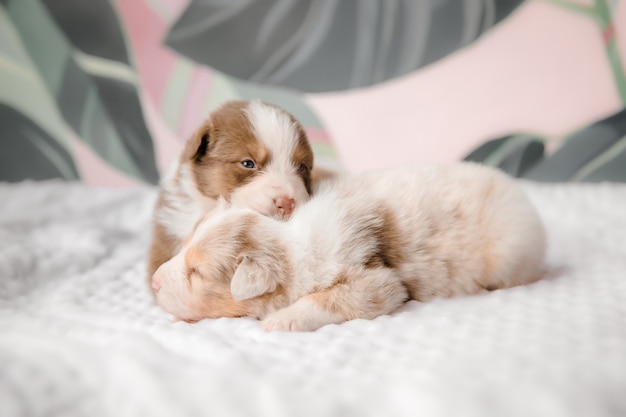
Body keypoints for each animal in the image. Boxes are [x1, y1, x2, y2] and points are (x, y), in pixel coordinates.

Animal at [149, 162, 544, 332]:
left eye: (197, 272)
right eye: (183, 250)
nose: (153, 283)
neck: (288, 241)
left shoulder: (378, 282)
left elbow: (329, 298)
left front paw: (282, 320)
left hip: (509, 253)